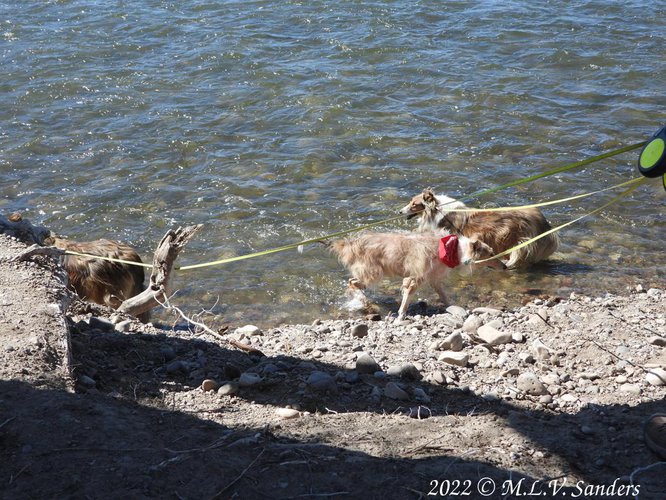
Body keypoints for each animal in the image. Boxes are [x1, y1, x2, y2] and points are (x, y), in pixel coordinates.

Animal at [324, 231, 500, 320]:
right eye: (491, 254)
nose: (504, 266)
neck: (453, 249)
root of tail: (349, 244)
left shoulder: (433, 277)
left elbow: (442, 293)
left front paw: (452, 306)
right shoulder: (415, 277)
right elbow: (407, 296)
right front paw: (401, 314)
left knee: (352, 282)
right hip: (373, 272)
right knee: (351, 282)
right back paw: (362, 300)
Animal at [396, 188, 556, 270]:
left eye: (414, 204)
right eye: (410, 202)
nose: (399, 211)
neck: (437, 209)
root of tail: (538, 216)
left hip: (505, 236)